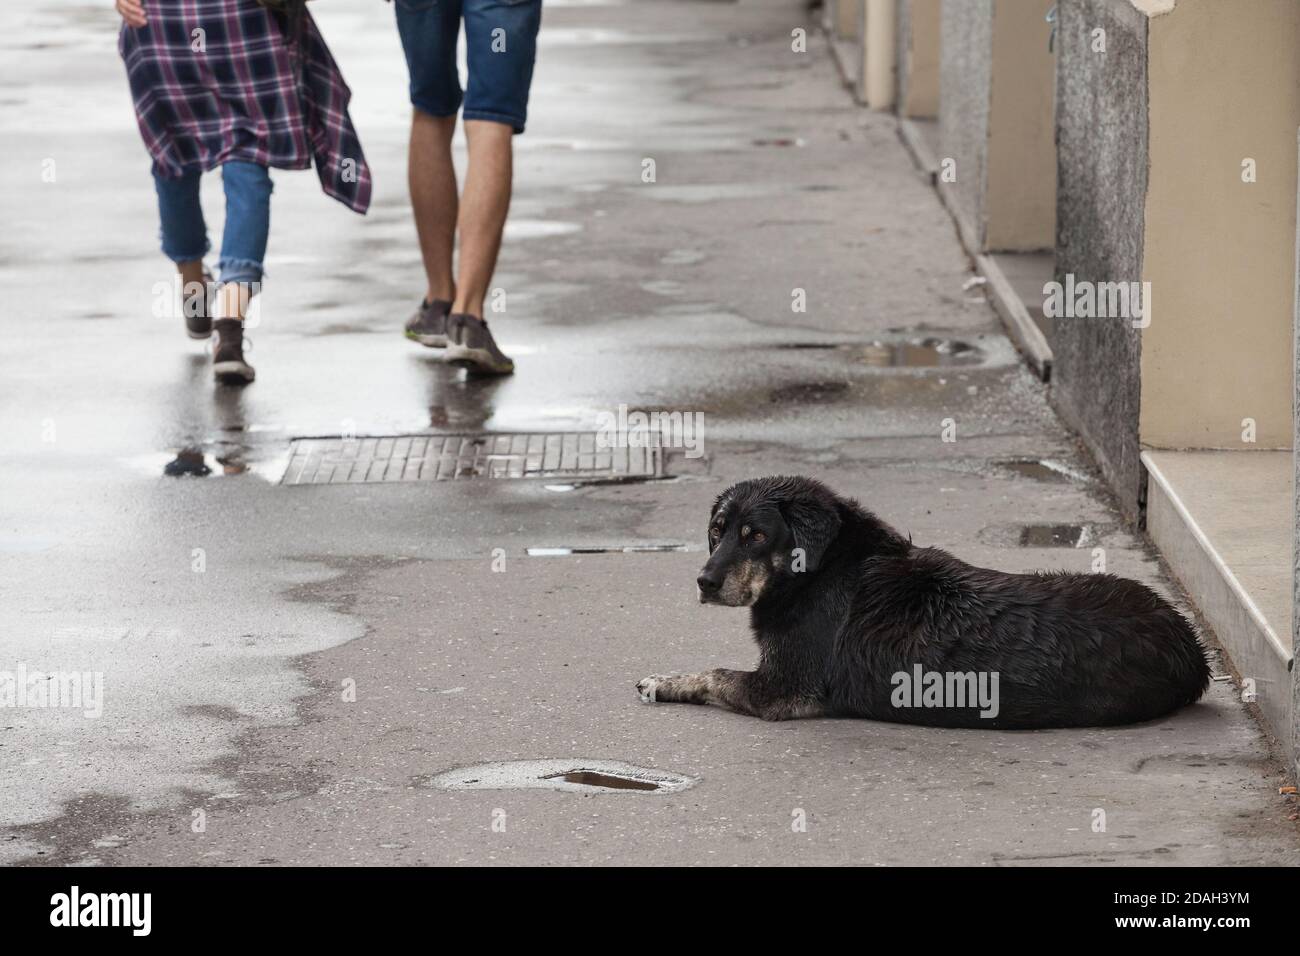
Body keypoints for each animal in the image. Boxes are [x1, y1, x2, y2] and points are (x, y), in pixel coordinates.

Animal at [637, 476, 1206, 728]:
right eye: (717, 531)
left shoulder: (782, 689)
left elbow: (713, 674)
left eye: (755, 536)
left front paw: (664, 682)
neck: (820, 567)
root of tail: (1192, 649)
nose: (704, 581)